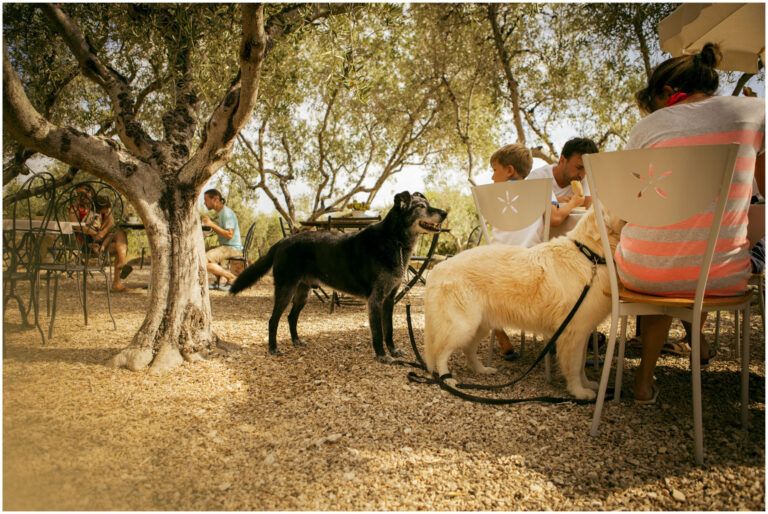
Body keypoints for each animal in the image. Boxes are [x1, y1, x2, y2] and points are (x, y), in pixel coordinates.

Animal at [228, 190, 448, 358]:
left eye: (428, 204)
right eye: (421, 206)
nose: (445, 212)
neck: (395, 240)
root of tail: (282, 242)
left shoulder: (389, 299)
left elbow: (389, 330)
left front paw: (393, 351)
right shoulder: (376, 300)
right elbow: (378, 332)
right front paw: (382, 355)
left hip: (303, 291)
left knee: (291, 317)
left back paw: (296, 341)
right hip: (285, 289)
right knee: (273, 320)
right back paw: (273, 349)